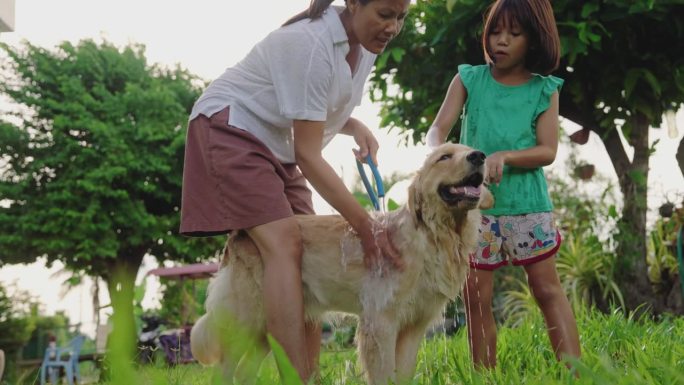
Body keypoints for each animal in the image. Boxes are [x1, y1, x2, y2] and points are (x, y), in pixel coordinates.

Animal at [191, 142, 492, 382]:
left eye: (468, 149)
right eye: (444, 157)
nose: (479, 156)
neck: (435, 235)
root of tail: (238, 234)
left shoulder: (413, 327)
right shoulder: (380, 323)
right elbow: (385, 375)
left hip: (267, 327)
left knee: (244, 372)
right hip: (247, 320)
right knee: (223, 371)